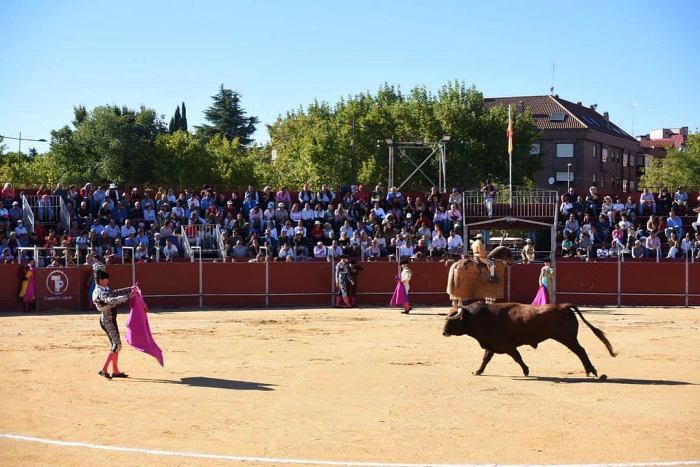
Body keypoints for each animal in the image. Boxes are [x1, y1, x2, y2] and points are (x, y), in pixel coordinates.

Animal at [446, 302, 616, 378]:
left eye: (452, 320)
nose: (443, 332)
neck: (478, 318)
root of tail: (564, 306)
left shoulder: (505, 345)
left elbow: (517, 357)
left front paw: (526, 371)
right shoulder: (492, 344)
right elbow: (485, 359)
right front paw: (478, 371)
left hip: (568, 338)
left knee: (580, 351)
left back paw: (591, 371)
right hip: (568, 338)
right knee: (580, 352)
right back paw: (590, 371)